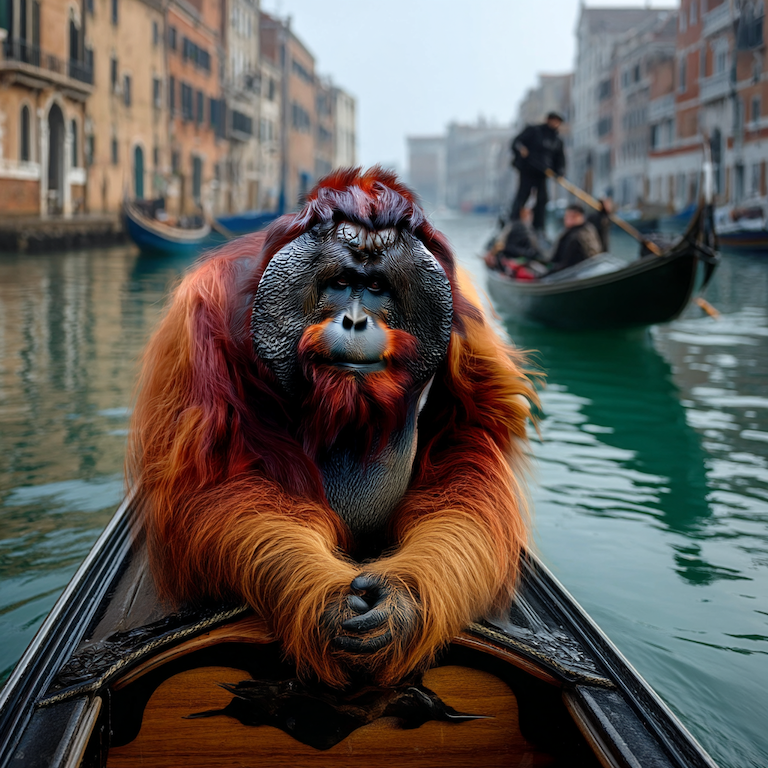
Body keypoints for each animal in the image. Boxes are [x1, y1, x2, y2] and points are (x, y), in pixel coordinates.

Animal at [128, 167, 536, 689]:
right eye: (341, 282)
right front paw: (328, 603)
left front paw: (401, 604)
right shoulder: (200, 323)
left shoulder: (471, 330)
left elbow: (464, 448)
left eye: (378, 287)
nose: (355, 320)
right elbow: (216, 478)